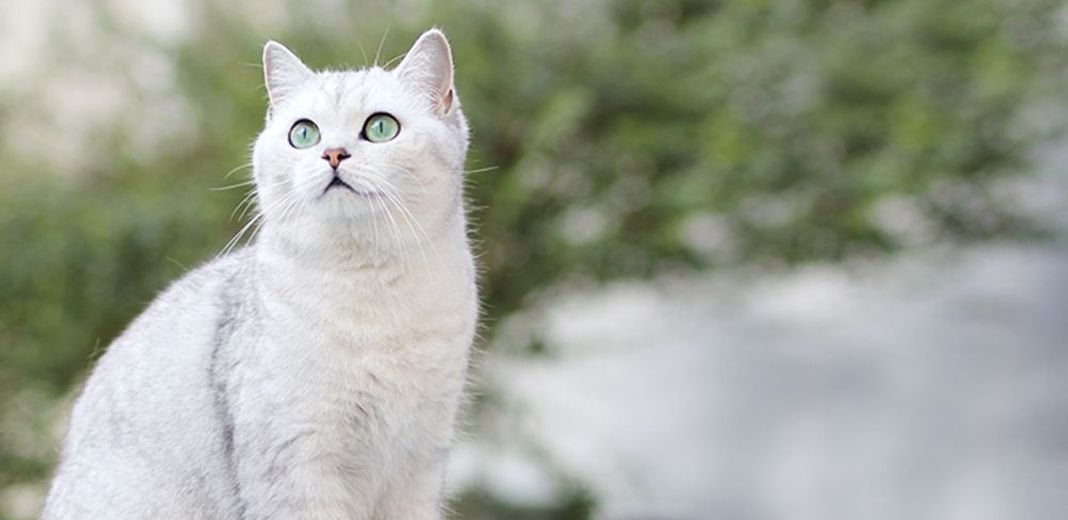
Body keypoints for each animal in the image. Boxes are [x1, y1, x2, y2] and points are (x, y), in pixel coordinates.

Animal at [41, 29, 476, 520]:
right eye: (303, 133)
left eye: (381, 127)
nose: (333, 154)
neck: (369, 287)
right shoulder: (295, 461)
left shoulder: (421, 459)